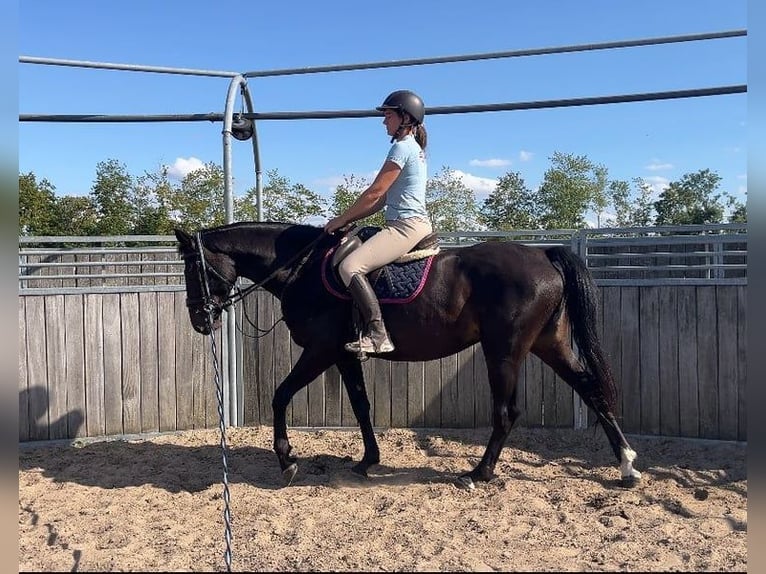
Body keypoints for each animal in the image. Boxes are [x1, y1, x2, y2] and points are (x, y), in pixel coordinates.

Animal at [174, 221, 642, 489]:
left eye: (193, 268)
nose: (200, 320)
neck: (302, 268)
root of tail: (543, 253)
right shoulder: (344, 355)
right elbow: (361, 406)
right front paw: (368, 460)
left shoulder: (319, 351)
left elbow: (280, 395)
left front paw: (287, 459)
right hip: (549, 344)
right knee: (592, 390)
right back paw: (626, 467)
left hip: (504, 351)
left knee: (507, 412)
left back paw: (479, 474)